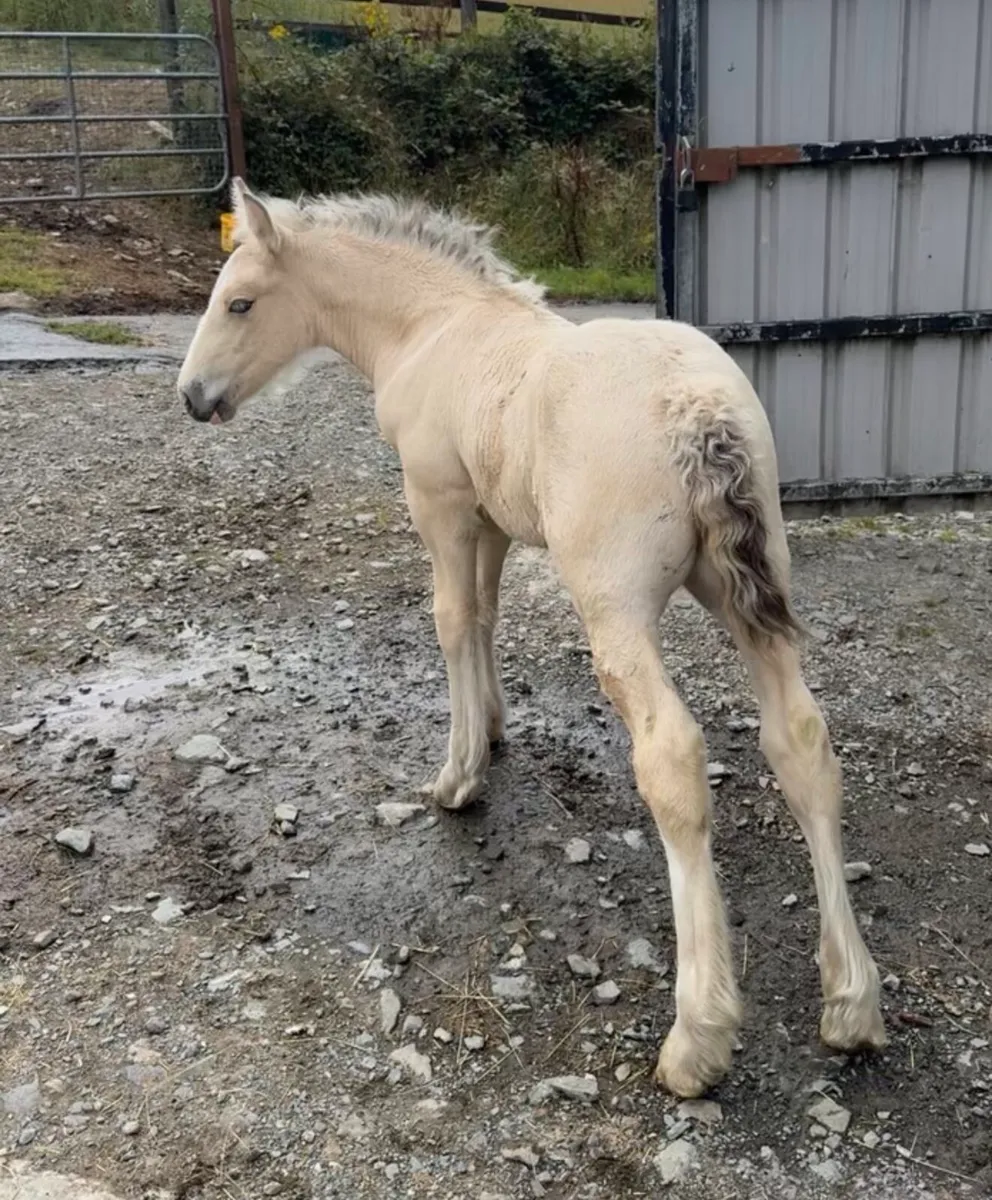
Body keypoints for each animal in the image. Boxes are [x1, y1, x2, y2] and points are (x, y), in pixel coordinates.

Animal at [177, 178, 886, 1098]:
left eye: (240, 302)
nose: (192, 395)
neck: (430, 325)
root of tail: (698, 410)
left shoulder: (438, 504)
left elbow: (450, 621)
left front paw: (457, 777)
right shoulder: (491, 519)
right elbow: (485, 614)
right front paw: (493, 730)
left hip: (615, 605)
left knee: (672, 757)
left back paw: (697, 1037)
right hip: (748, 591)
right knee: (801, 741)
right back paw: (851, 1003)